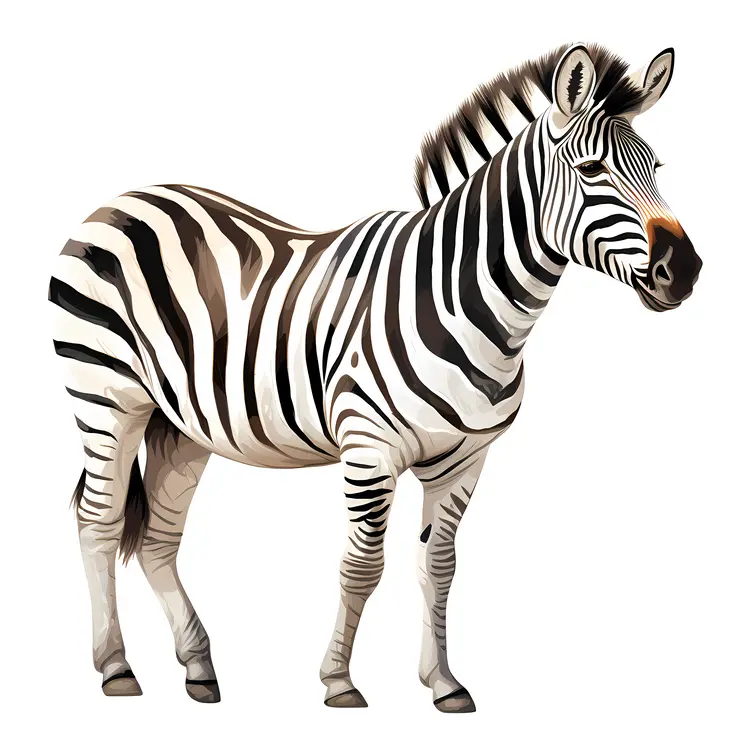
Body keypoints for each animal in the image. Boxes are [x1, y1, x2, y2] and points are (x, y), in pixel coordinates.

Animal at [49, 42, 701, 713]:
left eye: (657, 167)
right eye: (593, 169)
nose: (685, 270)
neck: (463, 302)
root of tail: (122, 199)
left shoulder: (464, 461)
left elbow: (439, 567)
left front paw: (444, 682)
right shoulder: (368, 447)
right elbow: (362, 566)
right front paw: (339, 680)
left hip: (181, 423)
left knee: (158, 536)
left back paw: (199, 667)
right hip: (106, 396)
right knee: (98, 520)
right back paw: (116, 668)